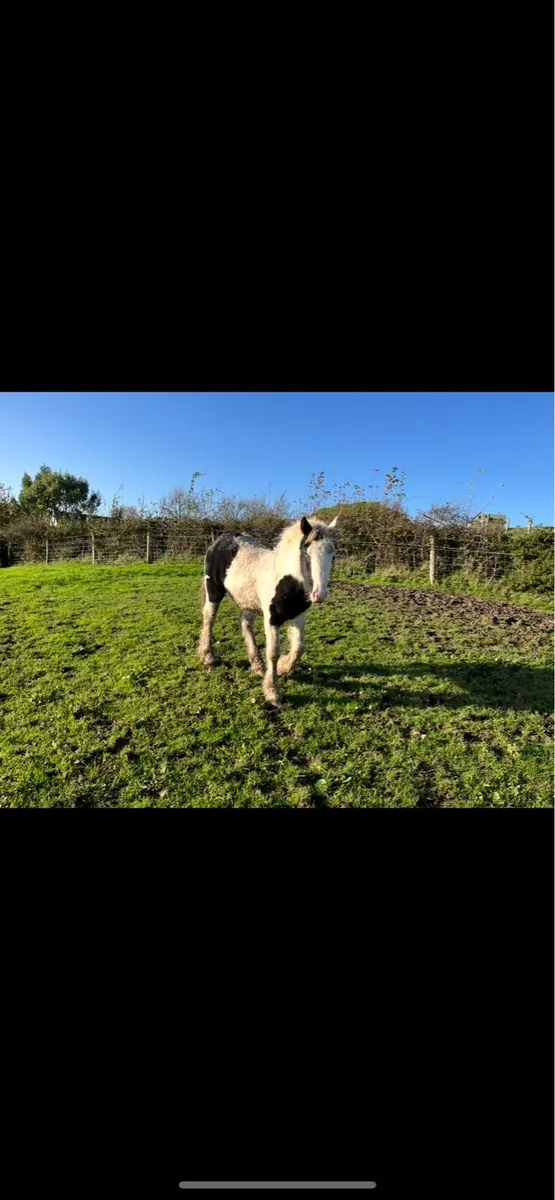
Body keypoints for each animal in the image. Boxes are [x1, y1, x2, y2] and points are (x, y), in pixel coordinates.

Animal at [198, 514, 339, 706]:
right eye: (306, 549)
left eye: (333, 553)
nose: (319, 594)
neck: (287, 580)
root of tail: (222, 538)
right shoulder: (272, 619)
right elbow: (273, 653)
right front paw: (273, 693)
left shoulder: (298, 617)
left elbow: (299, 647)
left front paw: (283, 668)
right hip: (213, 591)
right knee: (209, 619)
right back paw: (208, 658)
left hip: (247, 601)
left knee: (246, 625)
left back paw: (257, 665)